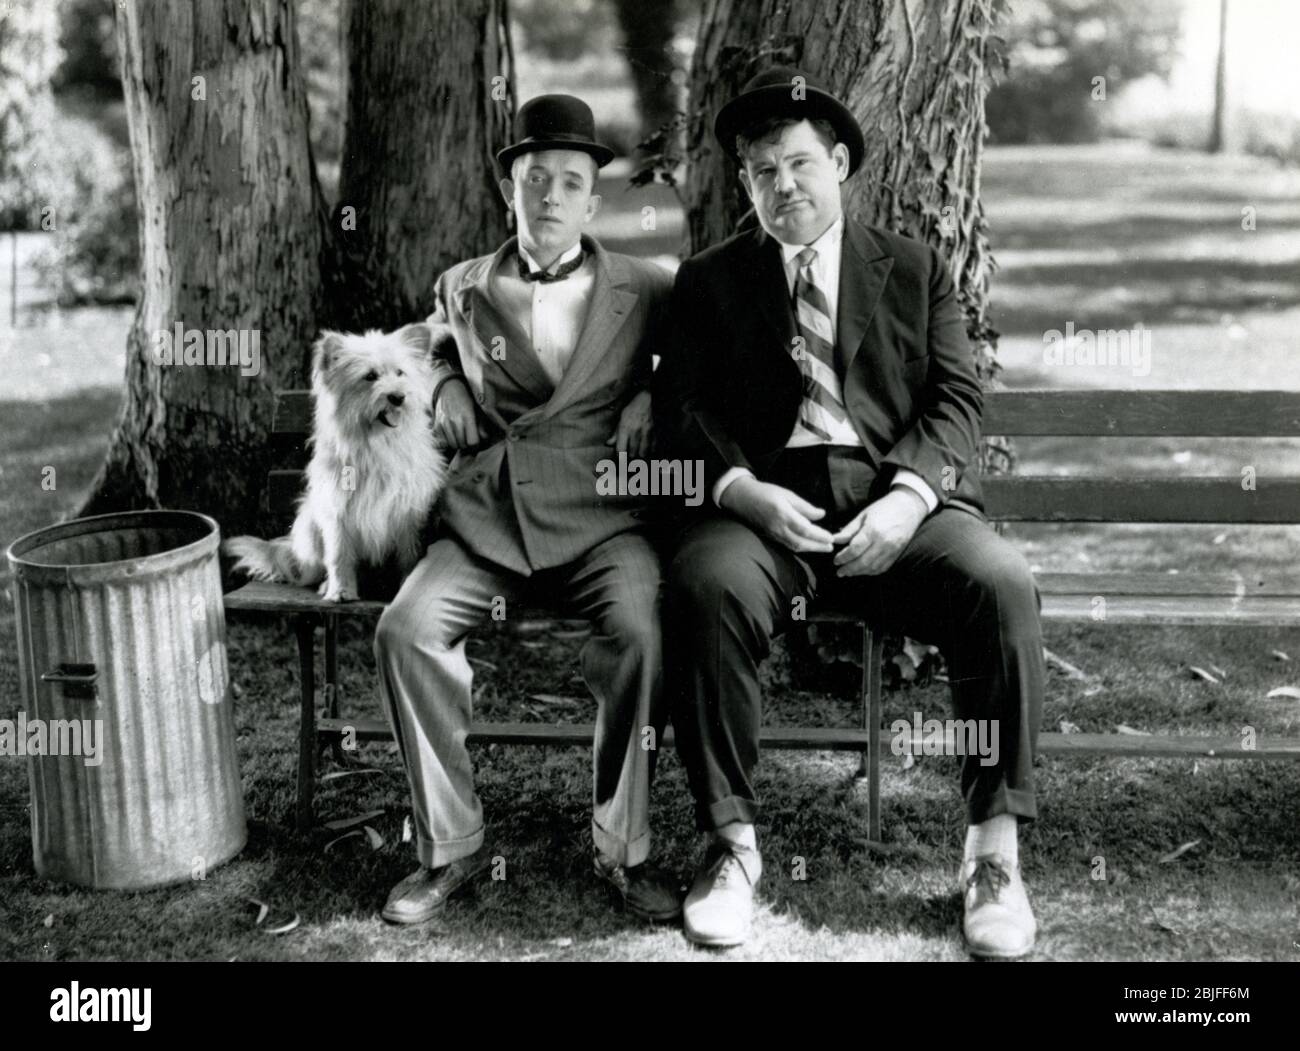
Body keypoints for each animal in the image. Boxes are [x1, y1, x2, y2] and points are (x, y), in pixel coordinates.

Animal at [223, 322, 447, 598]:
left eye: (400, 373)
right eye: (370, 376)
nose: (397, 397)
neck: (378, 441)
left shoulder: (408, 514)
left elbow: (409, 556)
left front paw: (406, 584)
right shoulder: (337, 511)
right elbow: (339, 555)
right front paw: (340, 591)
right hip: (310, 528)